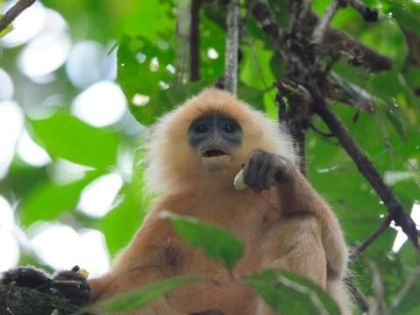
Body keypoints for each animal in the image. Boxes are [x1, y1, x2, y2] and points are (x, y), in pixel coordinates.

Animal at [3, 87, 352, 314]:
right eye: (202, 128)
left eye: (228, 128)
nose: (214, 137)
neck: (220, 190)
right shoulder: (168, 210)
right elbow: (119, 278)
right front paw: (48, 282)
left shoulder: (264, 192)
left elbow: (338, 260)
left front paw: (279, 167)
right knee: (143, 275)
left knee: (302, 225)